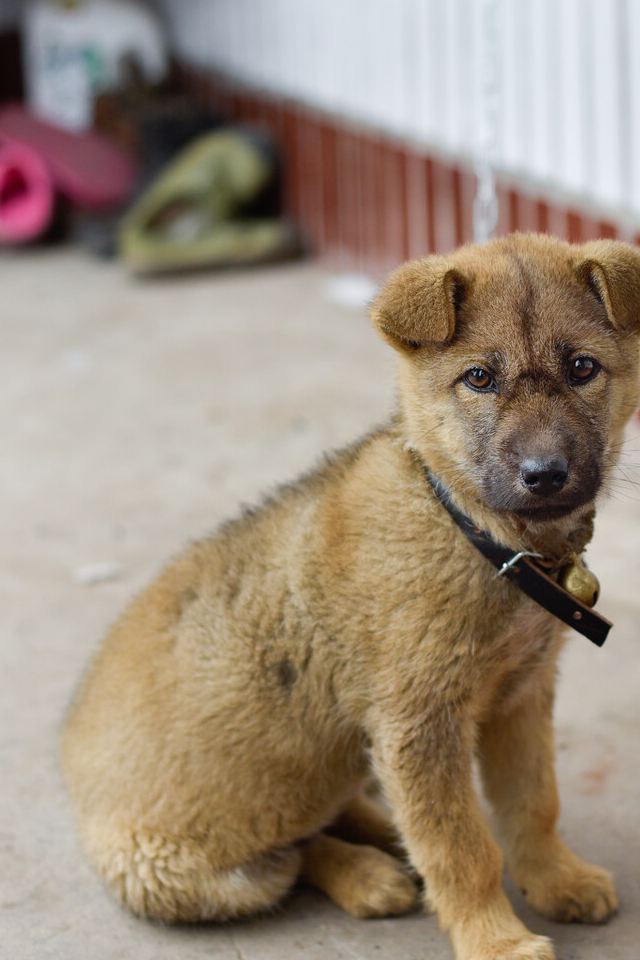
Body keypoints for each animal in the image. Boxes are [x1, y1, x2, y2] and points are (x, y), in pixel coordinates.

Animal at [61, 234, 640, 960]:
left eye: (583, 367)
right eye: (479, 378)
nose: (545, 476)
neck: (472, 530)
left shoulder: (520, 696)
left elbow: (533, 804)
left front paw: (556, 880)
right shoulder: (421, 725)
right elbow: (463, 848)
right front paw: (496, 941)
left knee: (330, 813)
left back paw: (384, 846)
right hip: (189, 874)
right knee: (292, 854)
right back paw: (370, 876)